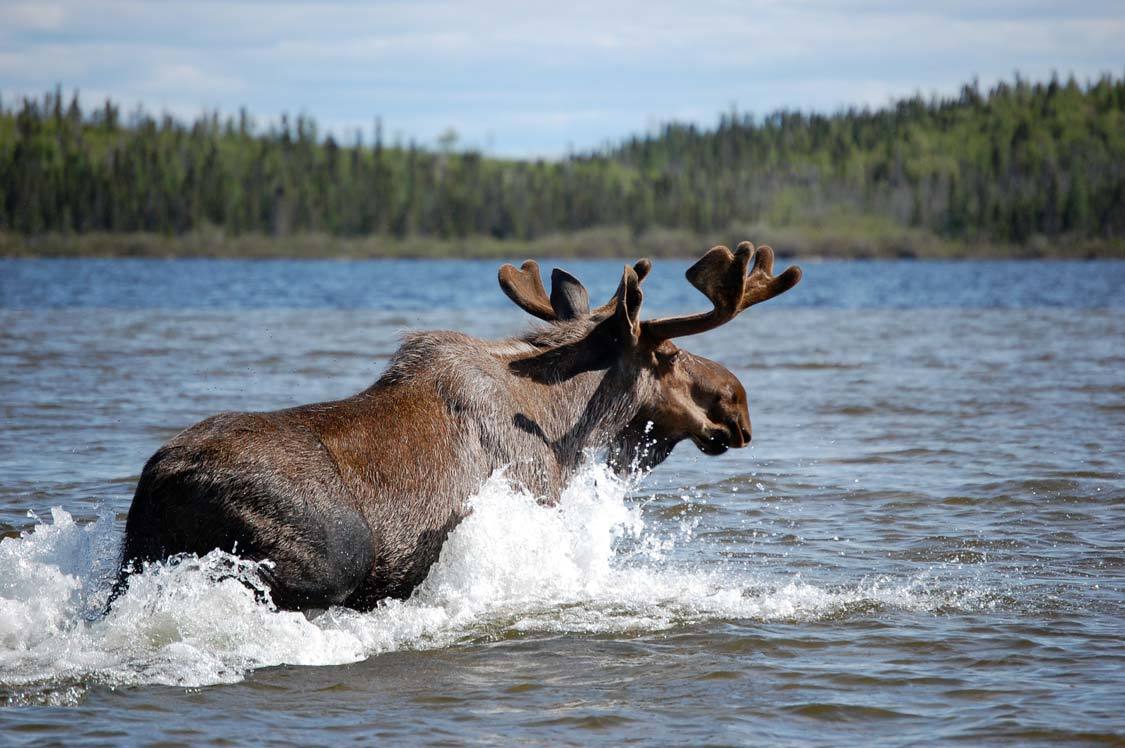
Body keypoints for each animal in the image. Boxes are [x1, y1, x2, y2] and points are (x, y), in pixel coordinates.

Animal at [116, 241, 801, 611]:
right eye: (671, 355)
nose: (738, 406)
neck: (569, 429)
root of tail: (159, 481)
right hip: (326, 556)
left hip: (129, 565)